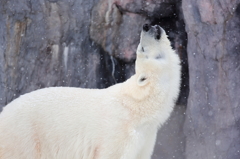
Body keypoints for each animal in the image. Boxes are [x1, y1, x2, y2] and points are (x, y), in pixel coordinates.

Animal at [0, 23, 180, 159]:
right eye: (141, 47)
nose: (147, 26)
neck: (139, 107)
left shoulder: (145, 138)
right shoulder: (117, 134)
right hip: (25, 138)